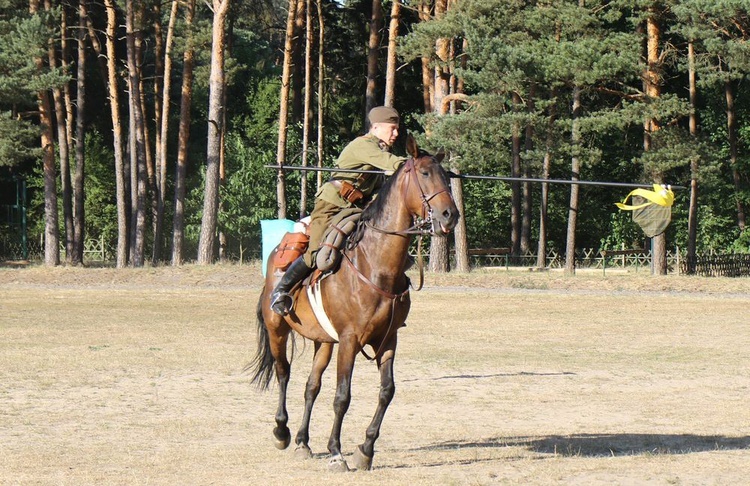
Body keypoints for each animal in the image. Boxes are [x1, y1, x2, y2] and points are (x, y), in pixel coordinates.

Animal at [250, 137, 458, 470]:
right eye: (425, 173)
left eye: (447, 176)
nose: (450, 215)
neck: (375, 264)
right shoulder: (349, 340)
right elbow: (342, 396)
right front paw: (336, 451)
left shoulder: (388, 339)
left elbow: (386, 391)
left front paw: (366, 449)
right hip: (277, 328)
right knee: (283, 372)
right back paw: (282, 431)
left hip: (324, 340)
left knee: (311, 386)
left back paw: (303, 441)